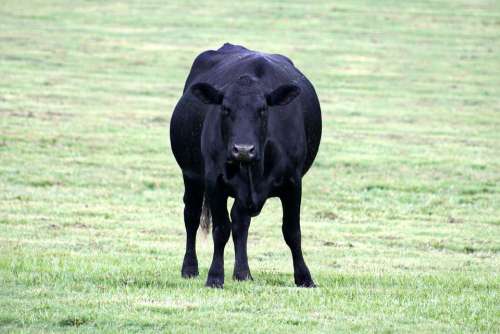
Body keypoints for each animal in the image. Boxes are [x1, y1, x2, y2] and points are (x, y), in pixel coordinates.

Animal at [170, 42, 322, 288]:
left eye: (263, 109)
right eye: (225, 108)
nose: (242, 149)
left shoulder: (293, 183)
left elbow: (292, 231)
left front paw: (304, 277)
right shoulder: (214, 182)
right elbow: (220, 229)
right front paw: (215, 276)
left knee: (240, 222)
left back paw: (243, 273)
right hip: (191, 176)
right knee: (191, 216)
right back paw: (190, 268)